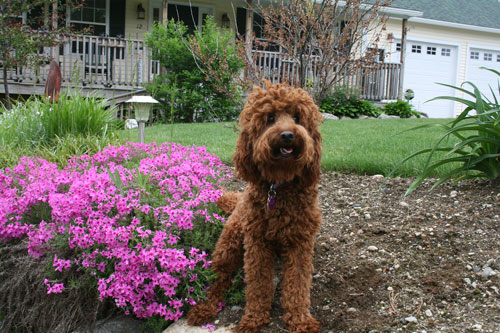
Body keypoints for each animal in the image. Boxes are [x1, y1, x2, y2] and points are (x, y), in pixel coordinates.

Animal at [188, 81, 324, 330]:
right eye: (270, 118)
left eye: (297, 117)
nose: (288, 135)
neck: (279, 186)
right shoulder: (257, 242)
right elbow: (258, 283)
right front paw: (254, 318)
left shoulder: (300, 242)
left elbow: (298, 284)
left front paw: (300, 319)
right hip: (229, 245)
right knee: (218, 279)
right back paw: (206, 307)